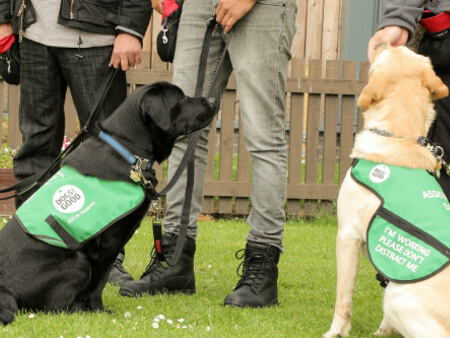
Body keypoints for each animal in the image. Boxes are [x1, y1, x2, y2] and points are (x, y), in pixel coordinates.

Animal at [0, 82, 216, 324]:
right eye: (179, 98)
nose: (213, 100)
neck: (128, 151)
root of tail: (4, 292)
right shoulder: (108, 243)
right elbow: (99, 282)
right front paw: (98, 311)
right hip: (78, 262)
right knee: (55, 308)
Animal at [326, 45, 450, 338]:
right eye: (402, 47)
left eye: (392, 49)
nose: (383, 43)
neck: (401, 137)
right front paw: (383, 331)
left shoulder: (346, 235)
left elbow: (342, 298)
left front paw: (335, 332)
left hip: (397, 295)